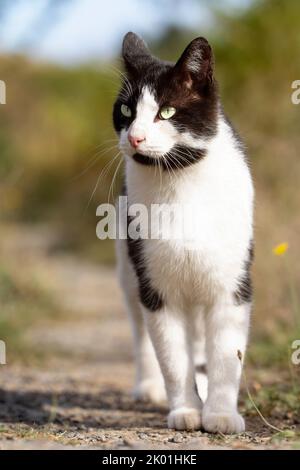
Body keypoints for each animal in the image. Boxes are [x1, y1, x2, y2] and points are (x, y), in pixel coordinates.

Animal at [112, 32, 253, 434]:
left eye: (167, 112)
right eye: (126, 111)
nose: (136, 138)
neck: (178, 182)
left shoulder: (230, 286)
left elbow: (226, 355)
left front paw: (220, 414)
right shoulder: (156, 288)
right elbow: (173, 357)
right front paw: (186, 411)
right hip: (128, 273)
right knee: (142, 333)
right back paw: (149, 388)